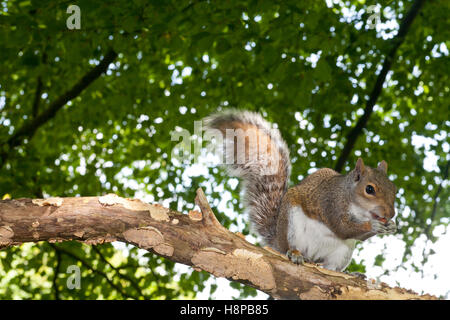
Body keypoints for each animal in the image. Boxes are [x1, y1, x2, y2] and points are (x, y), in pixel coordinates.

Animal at [204, 109, 398, 272]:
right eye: (369, 189)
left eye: (394, 188)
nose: (390, 214)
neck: (357, 207)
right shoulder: (331, 203)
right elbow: (342, 228)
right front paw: (374, 225)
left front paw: (392, 226)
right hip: (291, 224)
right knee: (291, 247)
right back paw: (294, 254)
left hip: (343, 251)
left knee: (331, 266)